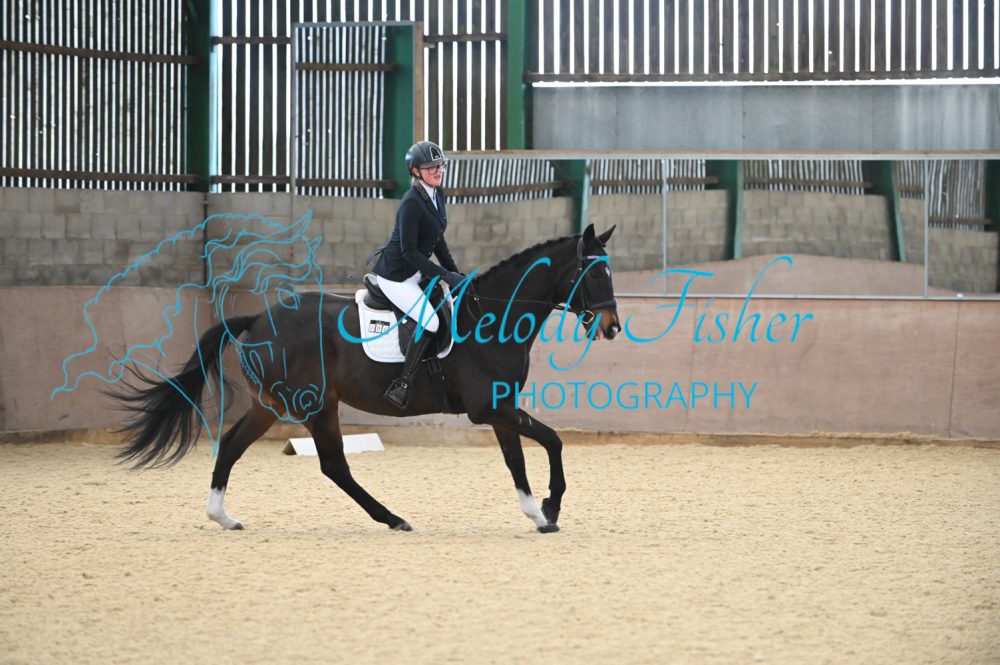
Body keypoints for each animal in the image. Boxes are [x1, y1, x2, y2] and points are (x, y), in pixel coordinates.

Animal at [115, 224, 620, 533]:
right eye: (595, 274)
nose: (613, 326)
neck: (491, 318)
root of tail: (258, 317)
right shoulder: (490, 408)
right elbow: (553, 440)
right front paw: (551, 506)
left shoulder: (500, 407)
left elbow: (517, 460)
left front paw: (537, 514)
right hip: (312, 404)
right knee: (332, 465)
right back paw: (393, 518)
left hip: (276, 405)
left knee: (239, 446)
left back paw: (223, 516)